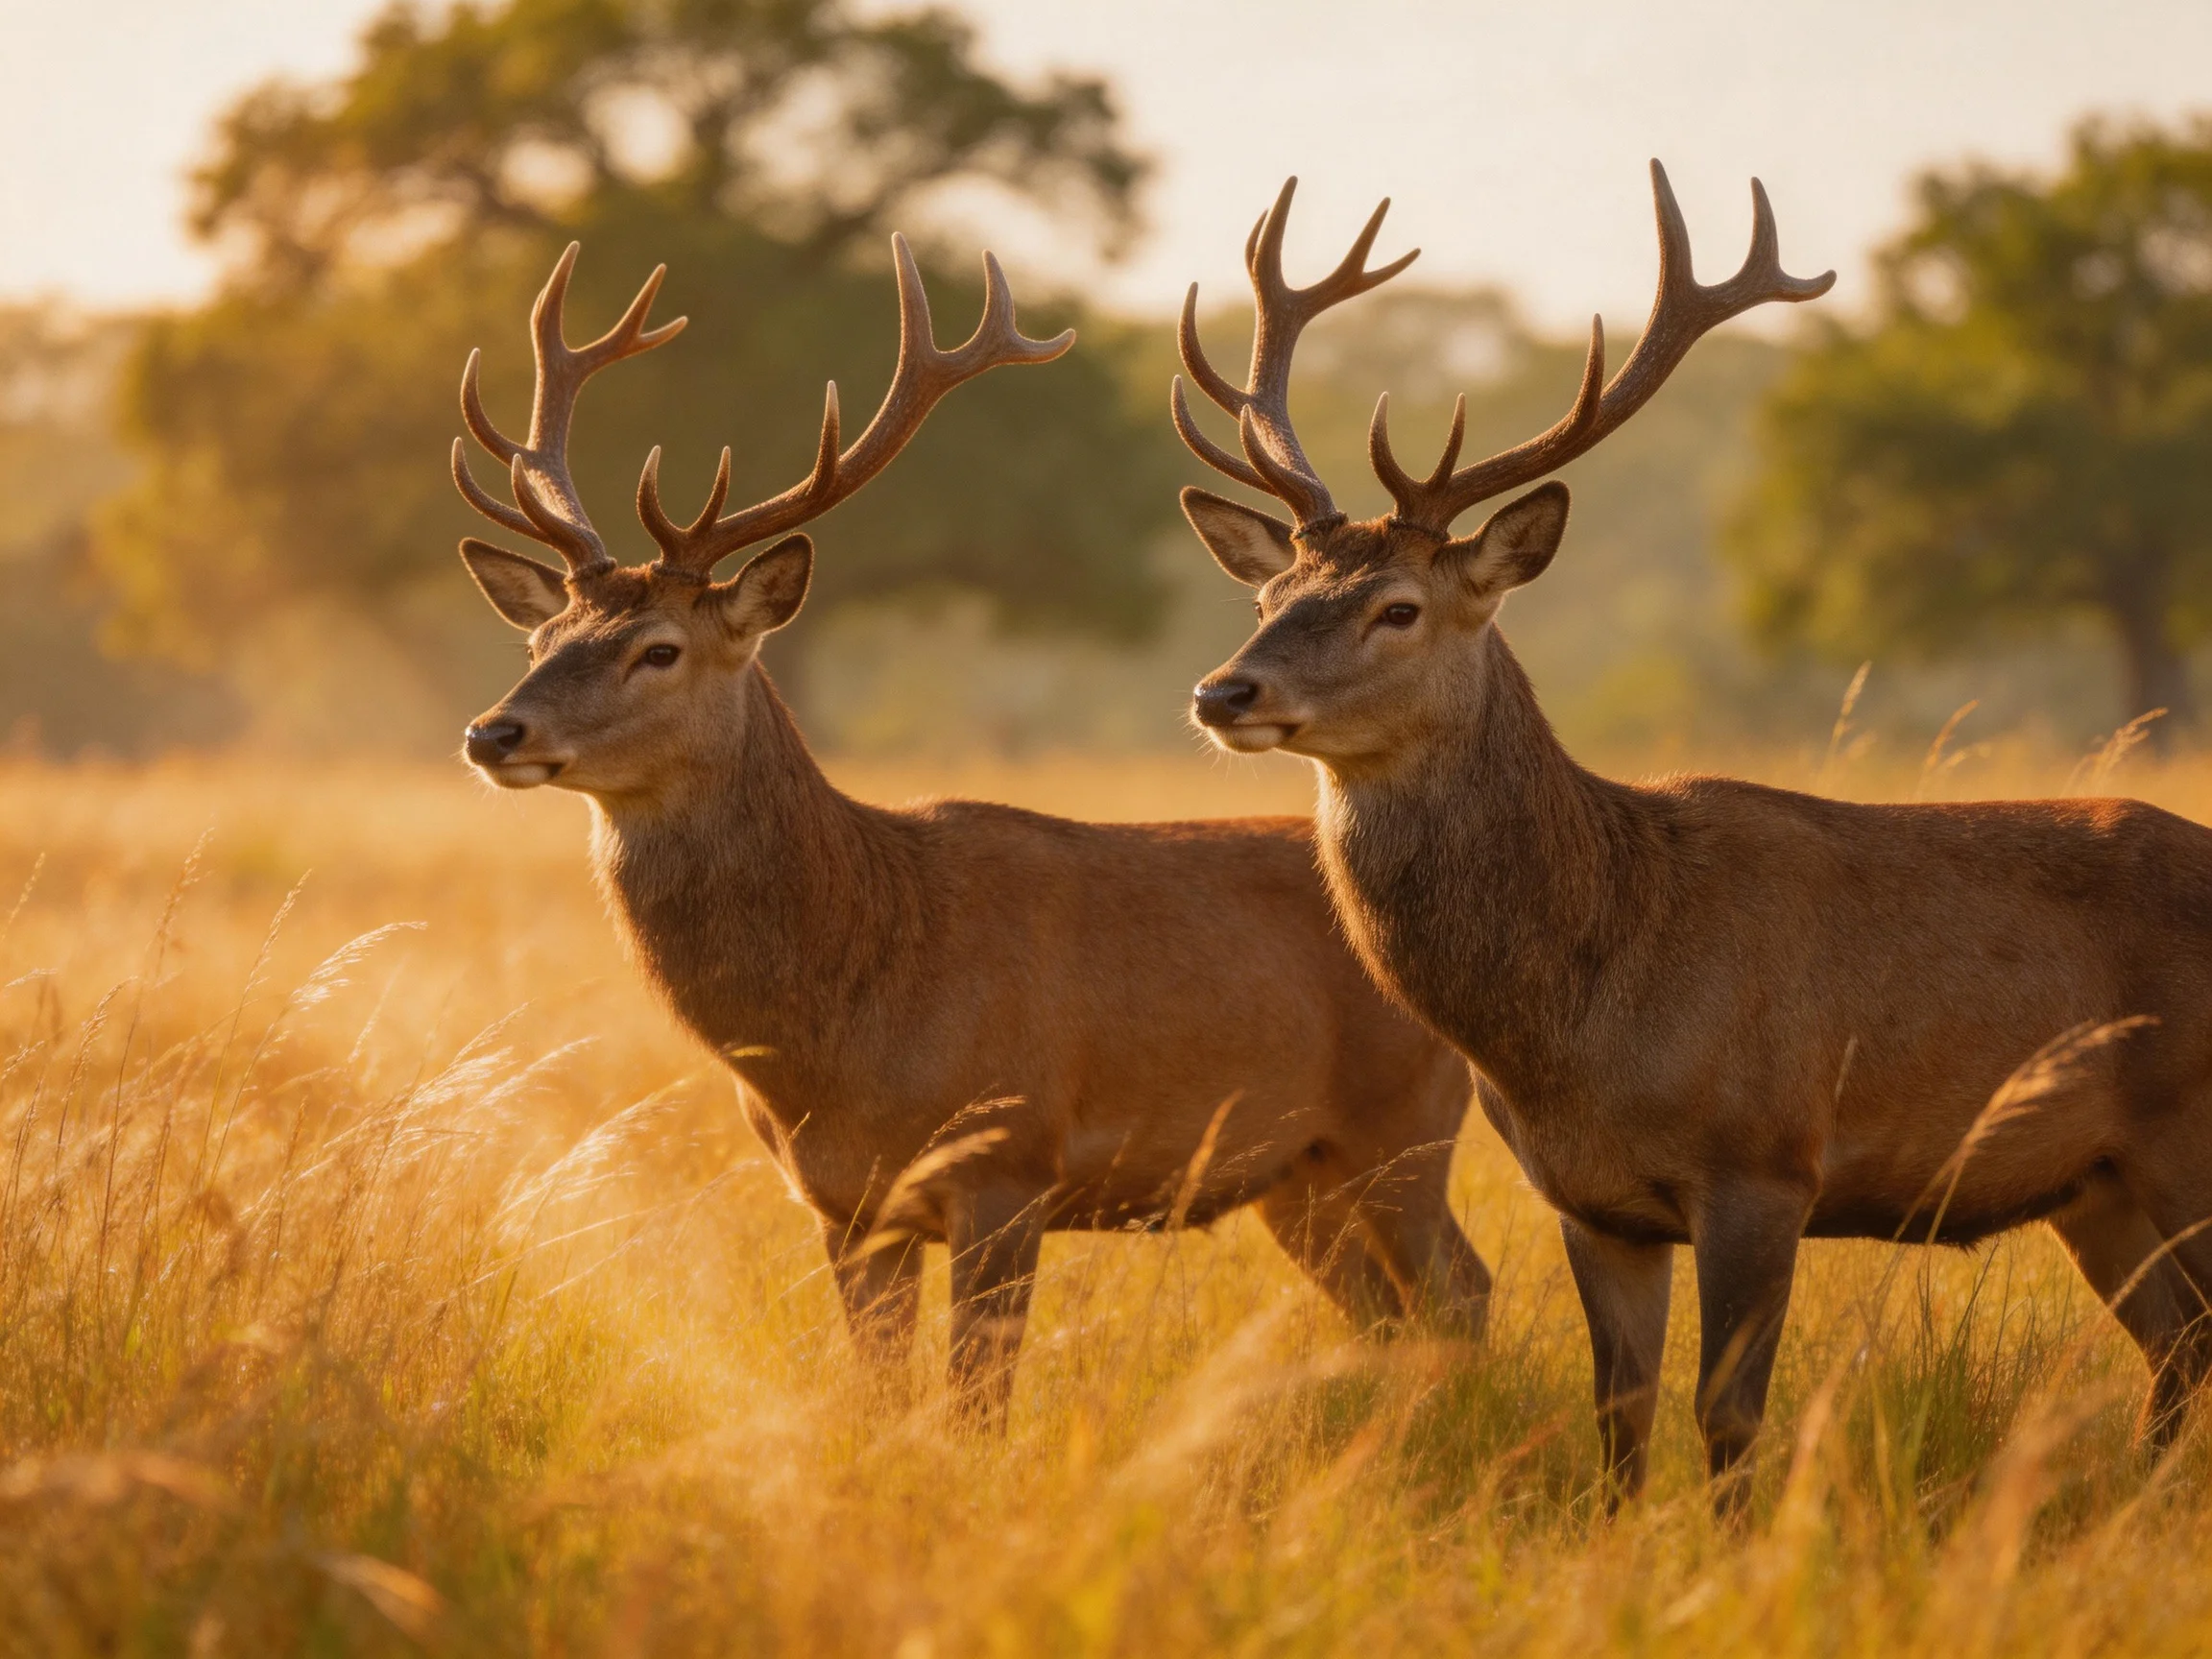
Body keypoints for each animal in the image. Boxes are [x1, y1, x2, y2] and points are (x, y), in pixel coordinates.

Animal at [448, 238, 1491, 1423]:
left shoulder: (1009, 1163)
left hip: (1406, 1120)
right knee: (1391, 1313)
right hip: (1297, 1172)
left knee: (1462, 1291)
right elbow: (880, 1394)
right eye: (542, 637)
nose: (493, 730)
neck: (846, 1019)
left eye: (658, 648)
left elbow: (975, 1405)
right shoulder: (843, 1206)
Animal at [1173, 167, 2212, 1509]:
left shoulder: (1765, 1161)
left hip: (2189, 1136)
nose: (1223, 692)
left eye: (1397, 608)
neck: (1592, 995)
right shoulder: (1592, 1203)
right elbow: (1619, 1422)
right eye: (1267, 596)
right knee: (2178, 1348)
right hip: (2099, 1185)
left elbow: (1728, 1420)